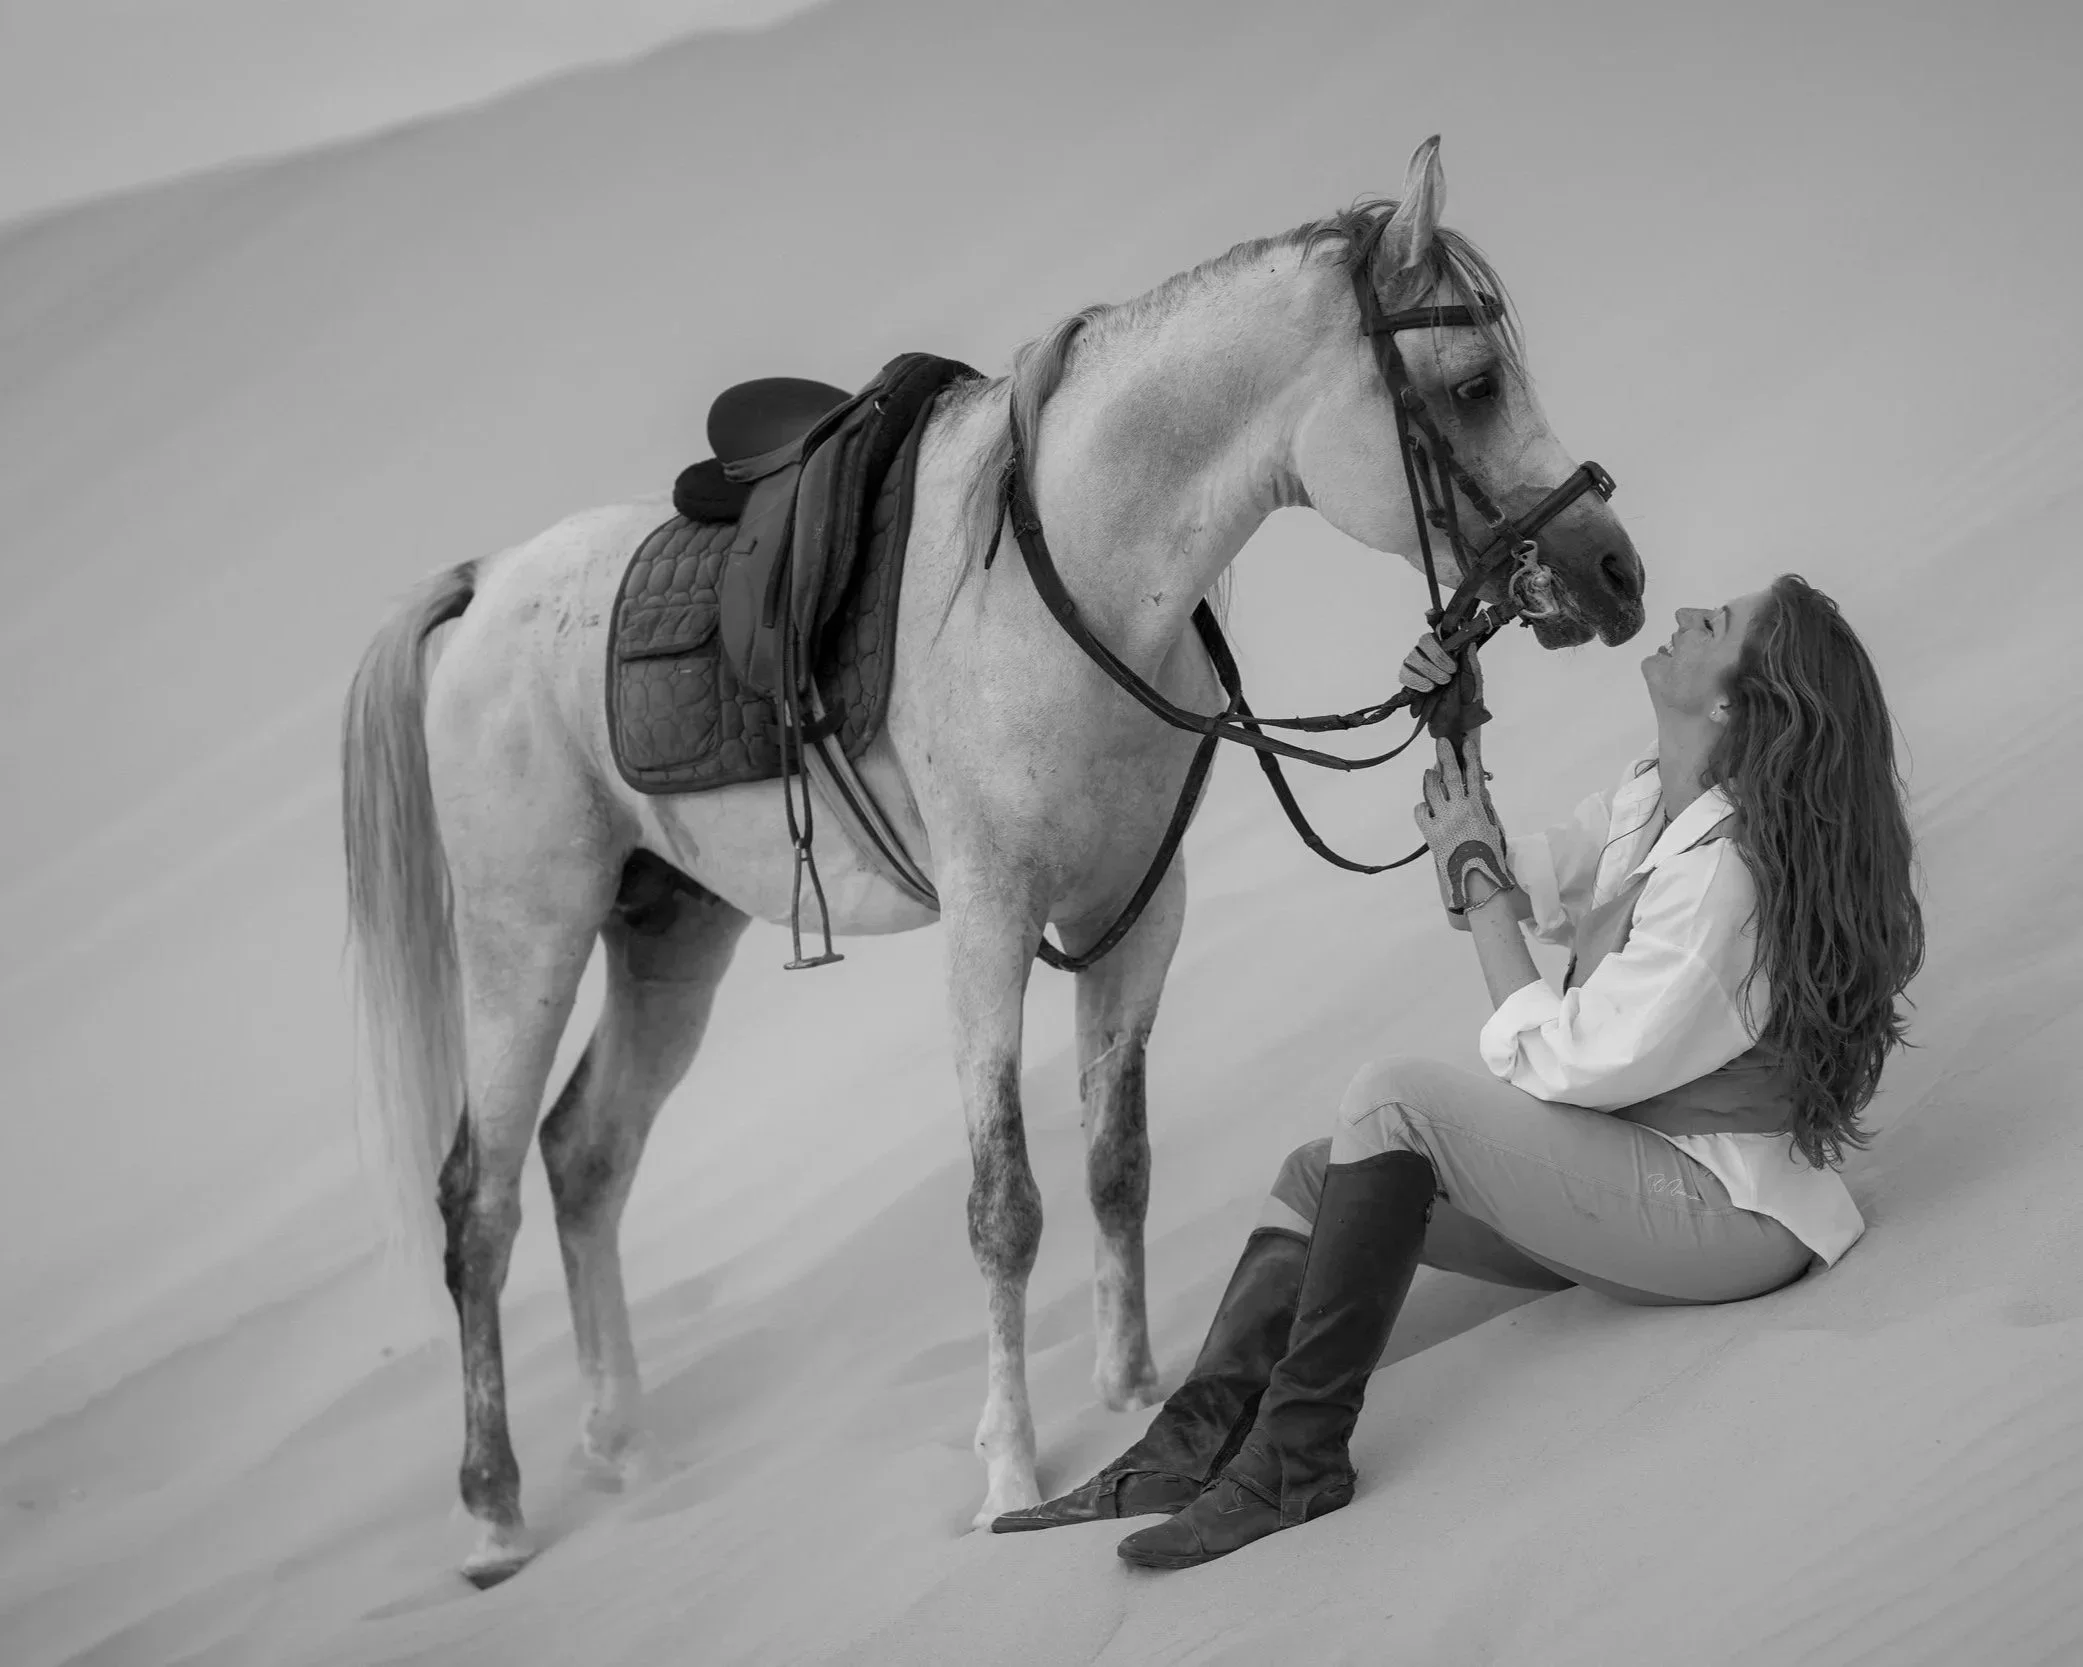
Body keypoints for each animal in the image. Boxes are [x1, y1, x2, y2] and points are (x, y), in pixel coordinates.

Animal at [341, 137, 1645, 1586]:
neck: (1066, 583)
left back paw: (624, 1448)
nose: (1614, 569)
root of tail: (482, 589)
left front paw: (1132, 1388)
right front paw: (1009, 1470)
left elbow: (1116, 1162)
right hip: (528, 933)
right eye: (1471, 385)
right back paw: (493, 1509)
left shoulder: (1138, 910)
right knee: (480, 1197)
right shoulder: (987, 925)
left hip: (667, 937)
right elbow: (1003, 1204)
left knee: (586, 1156)